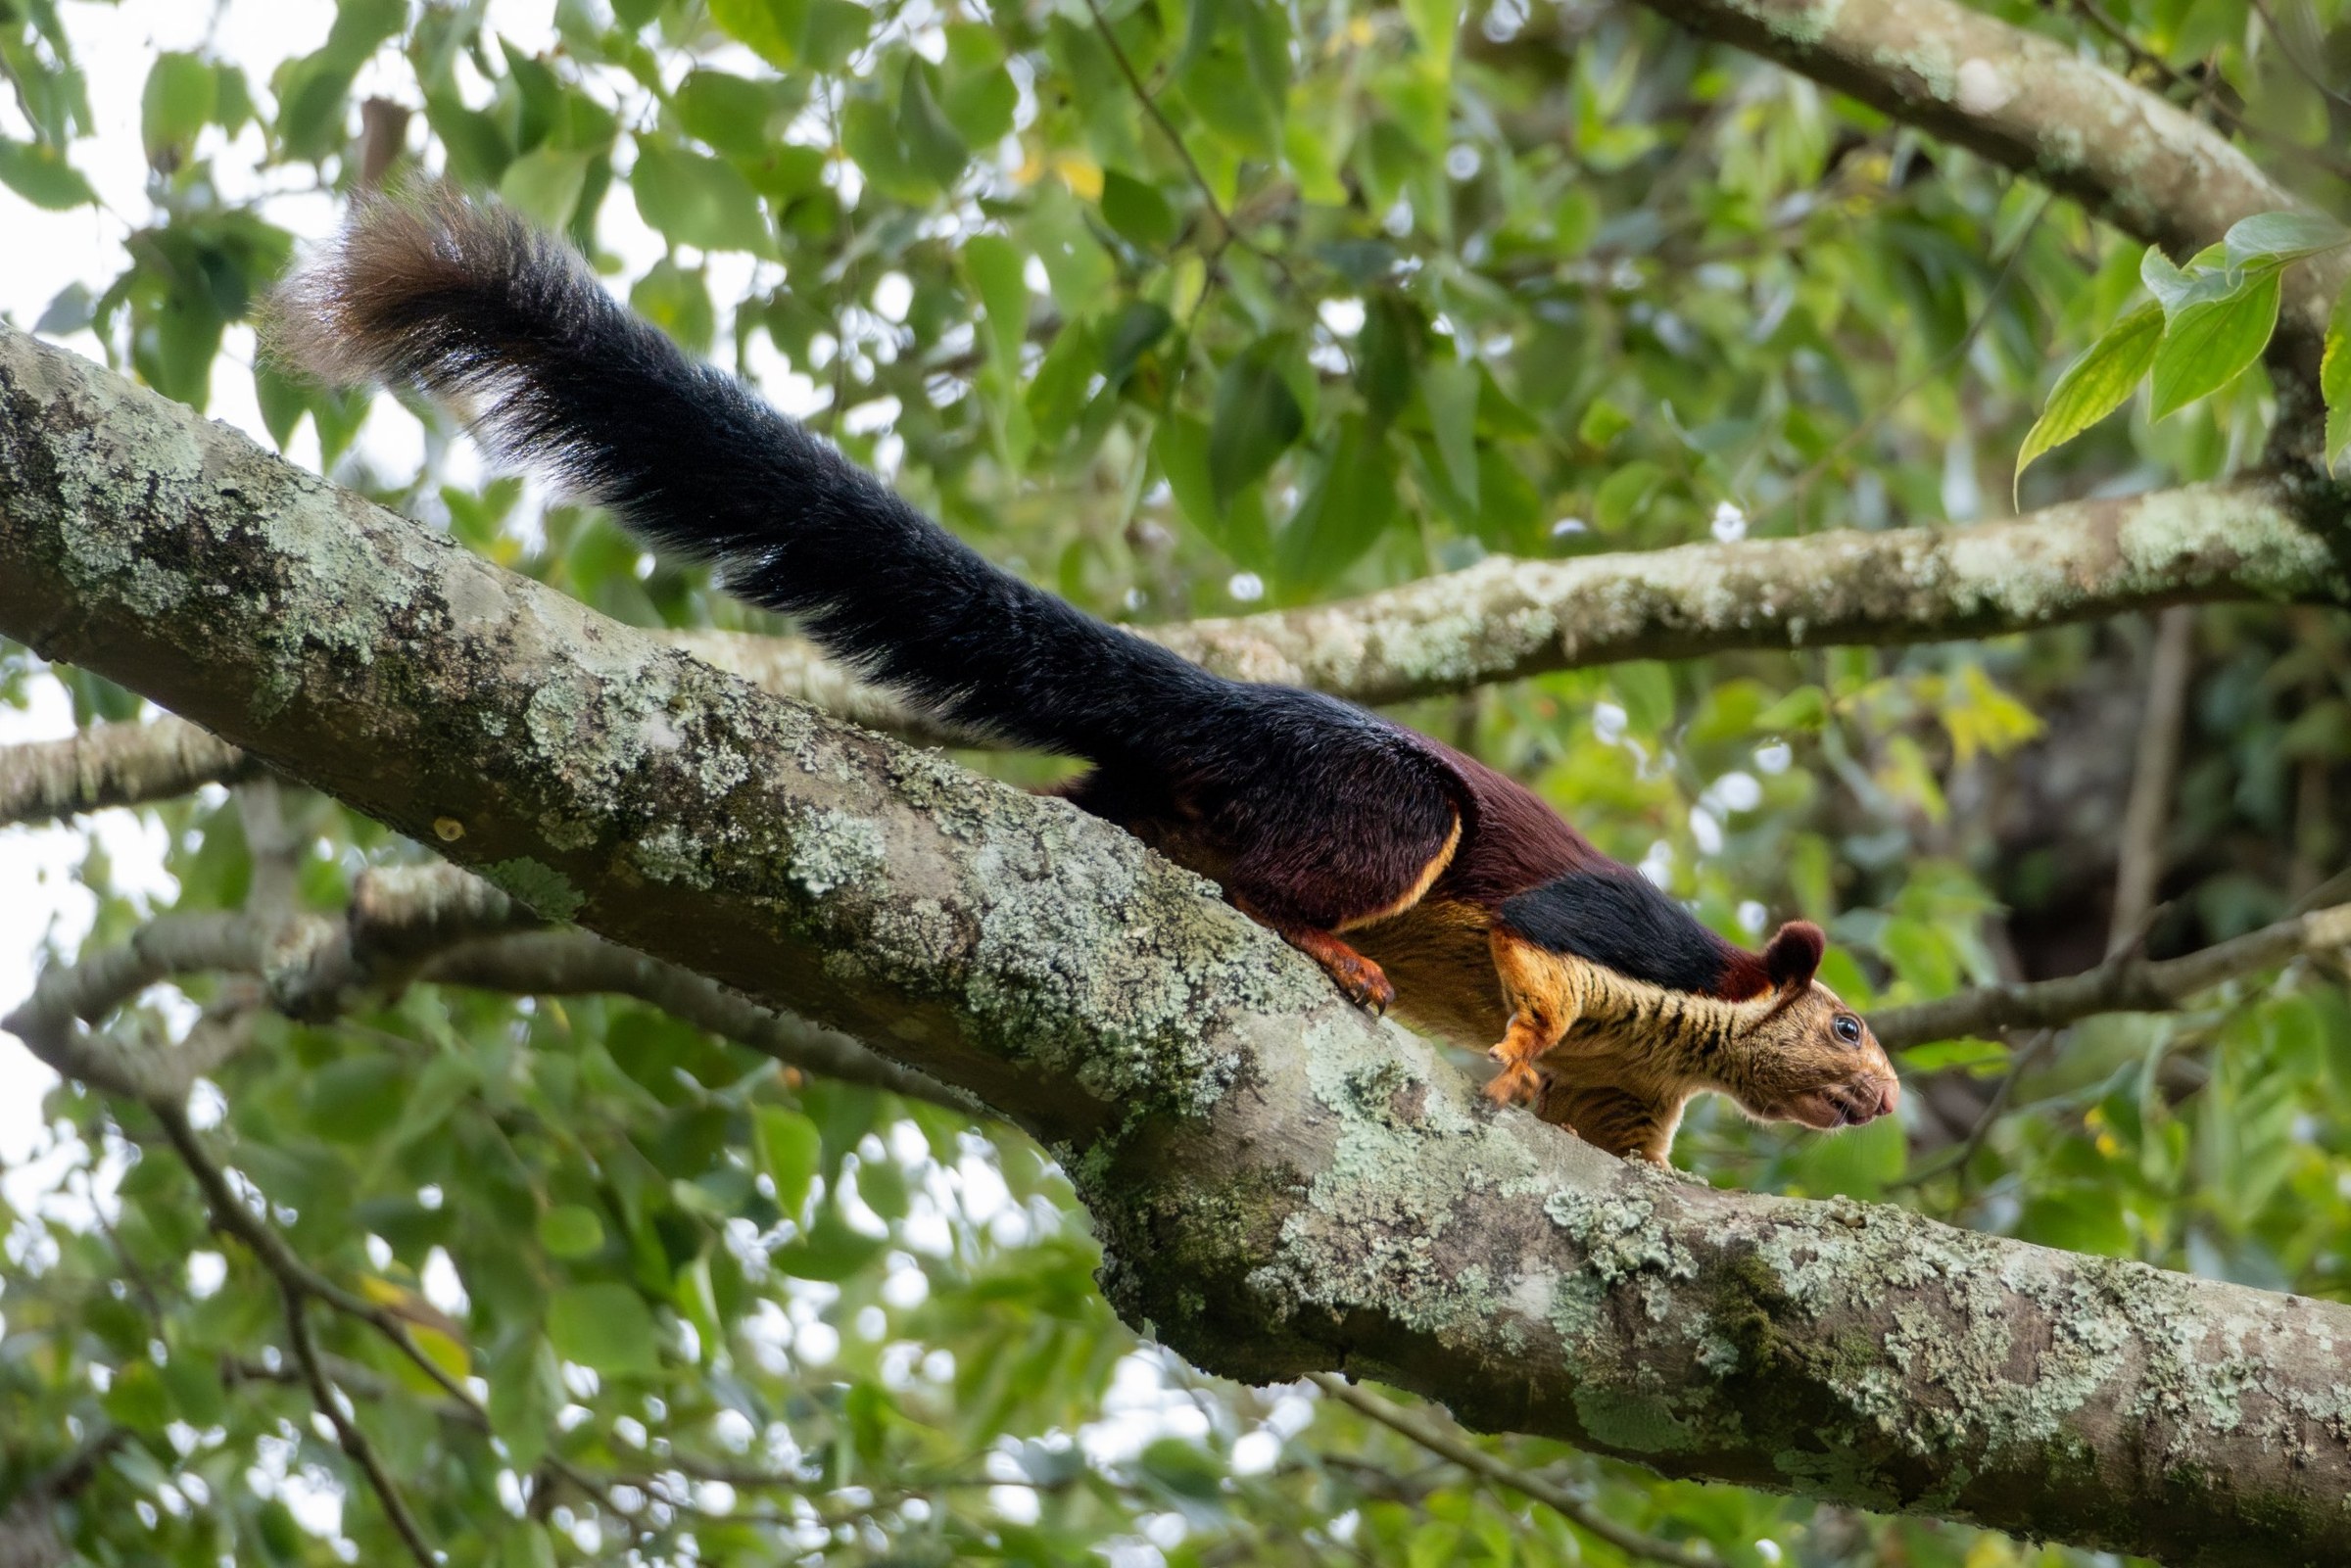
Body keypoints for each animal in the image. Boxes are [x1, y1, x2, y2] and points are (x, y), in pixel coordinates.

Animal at [271, 189, 1900, 1163]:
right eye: (1848, 1026)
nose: (1885, 1094)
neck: (1689, 1026)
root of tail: (1228, 711)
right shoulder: (1622, 937)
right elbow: (1537, 958)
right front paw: (1508, 1050)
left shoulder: (1635, 1106)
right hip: (1377, 808)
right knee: (1293, 871)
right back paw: (1334, 949)